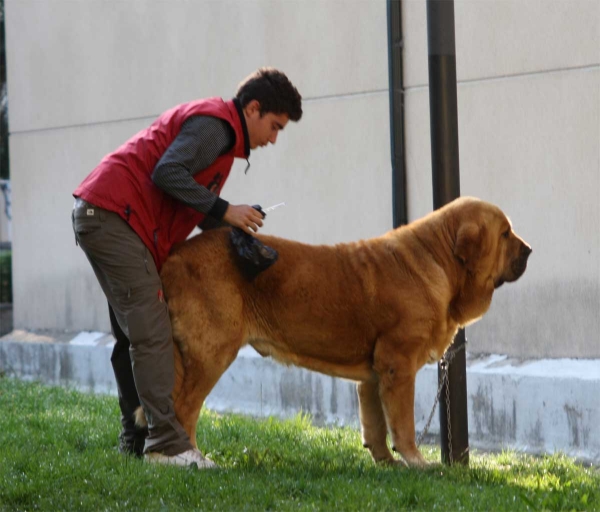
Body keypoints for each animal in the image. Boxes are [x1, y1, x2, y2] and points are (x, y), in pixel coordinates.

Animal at [158, 197, 528, 468]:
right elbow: (403, 423)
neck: (439, 261)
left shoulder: (375, 373)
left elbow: (376, 424)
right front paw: (418, 463)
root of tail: (173, 258)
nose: (529, 250)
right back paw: (188, 461)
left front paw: (387, 464)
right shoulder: (398, 364)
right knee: (183, 408)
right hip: (210, 354)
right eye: (505, 234)